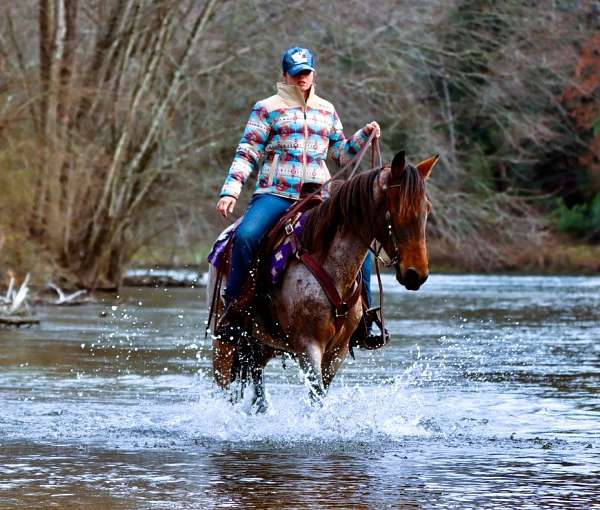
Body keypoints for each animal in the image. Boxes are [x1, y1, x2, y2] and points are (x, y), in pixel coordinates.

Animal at [205, 150, 436, 410]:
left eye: (427, 207)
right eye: (395, 209)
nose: (416, 274)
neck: (330, 265)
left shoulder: (337, 351)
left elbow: (320, 394)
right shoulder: (308, 346)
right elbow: (316, 395)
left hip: (260, 346)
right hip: (223, 346)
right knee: (227, 388)